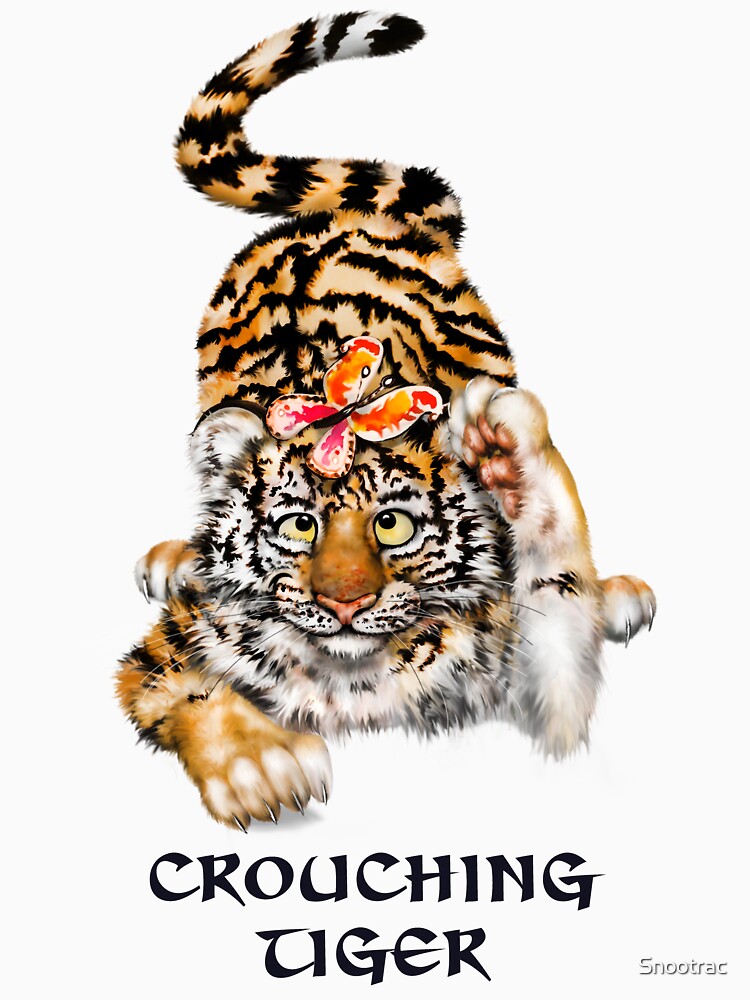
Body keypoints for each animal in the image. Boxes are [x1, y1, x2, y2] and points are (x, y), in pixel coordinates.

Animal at [116, 12, 656, 831]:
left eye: (393, 525)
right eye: (298, 524)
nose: (344, 604)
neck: (354, 676)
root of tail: (356, 216)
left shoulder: (523, 669)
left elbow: (558, 609)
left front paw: (508, 453)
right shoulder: (163, 654)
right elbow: (193, 689)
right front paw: (262, 768)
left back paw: (618, 591)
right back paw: (175, 558)